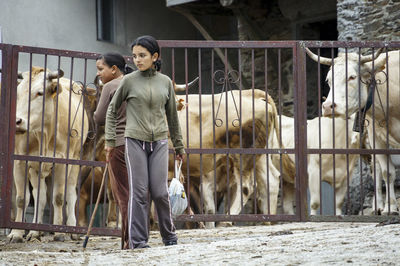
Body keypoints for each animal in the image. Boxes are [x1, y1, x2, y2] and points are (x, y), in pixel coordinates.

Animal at [7, 67, 89, 243]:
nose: (17, 121)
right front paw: (16, 233)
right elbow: (22, 199)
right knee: (40, 196)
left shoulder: (62, 162)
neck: (43, 132)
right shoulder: (20, 162)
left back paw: (72, 230)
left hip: (75, 162)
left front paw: (59, 232)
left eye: (39, 93)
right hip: (36, 170)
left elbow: (59, 197)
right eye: (18, 93)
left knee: (70, 194)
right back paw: (35, 231)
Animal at [304, 47, 398, 214]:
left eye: (352, 77)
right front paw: (391, 207)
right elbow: (387, 172)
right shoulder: (376, 137)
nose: (328, 106)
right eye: (328, 80)